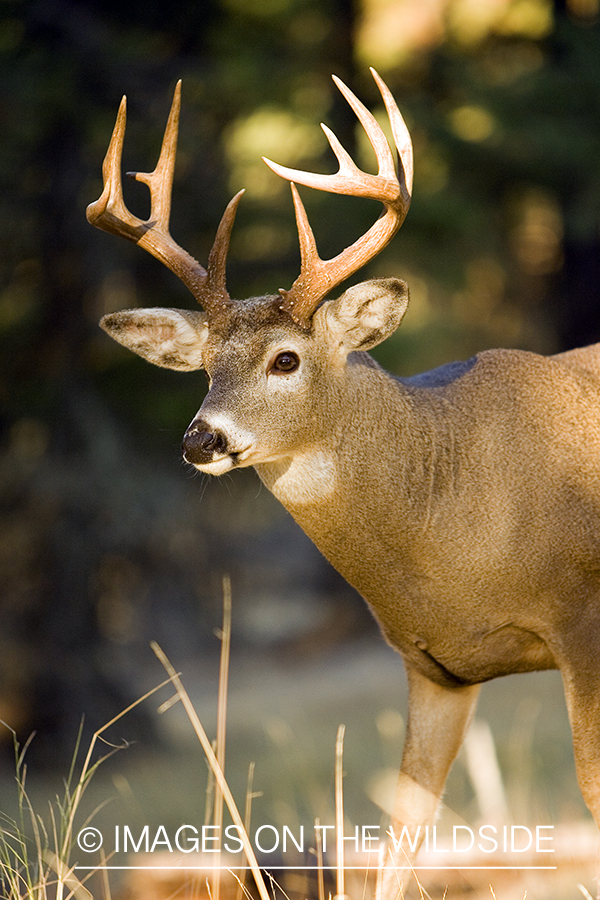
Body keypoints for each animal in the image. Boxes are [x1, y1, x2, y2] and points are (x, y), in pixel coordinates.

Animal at [89, 70, 600, 884]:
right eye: (205, 368)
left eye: (285, 359)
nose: (201, 438)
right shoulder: (434, 665)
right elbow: (400, 837)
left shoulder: (581, 614)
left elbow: (590, 787)